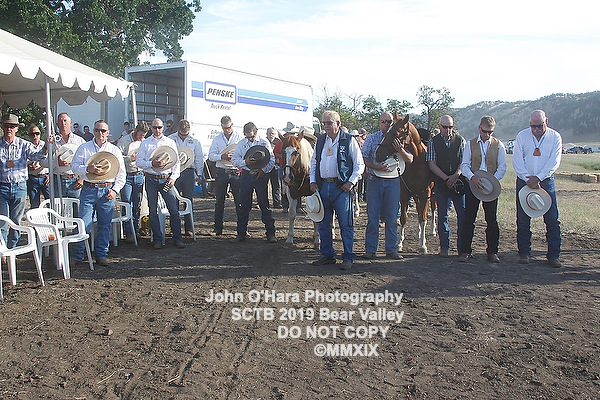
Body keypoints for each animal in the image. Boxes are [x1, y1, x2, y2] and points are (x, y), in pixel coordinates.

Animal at [379, 112, 435, 254]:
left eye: (394, 133)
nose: (378, 154)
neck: (416, 162)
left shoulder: (425, 192)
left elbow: (424, 217)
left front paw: (423, 246)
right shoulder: (405, 192)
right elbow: (404, 217)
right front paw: (399, 243)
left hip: (431, 194)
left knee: (431, 210)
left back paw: (432, 231)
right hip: (415, 195)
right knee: (419, 210)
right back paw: (418, 233)